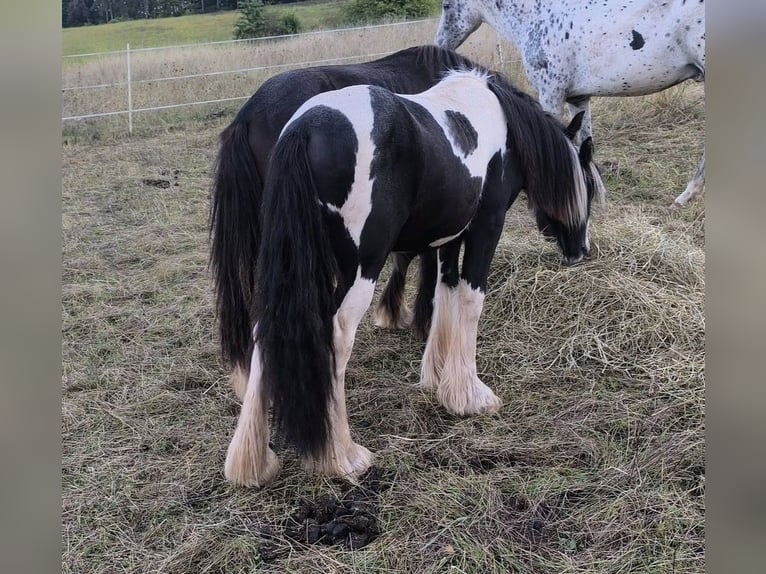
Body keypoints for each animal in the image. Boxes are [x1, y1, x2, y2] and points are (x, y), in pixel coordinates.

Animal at [434, 0, 706, 208]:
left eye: (446, 6)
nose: (438, 44)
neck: (538, 17)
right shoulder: (578, 99)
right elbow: (584, 143)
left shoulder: (550, 94)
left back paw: (685, 196)